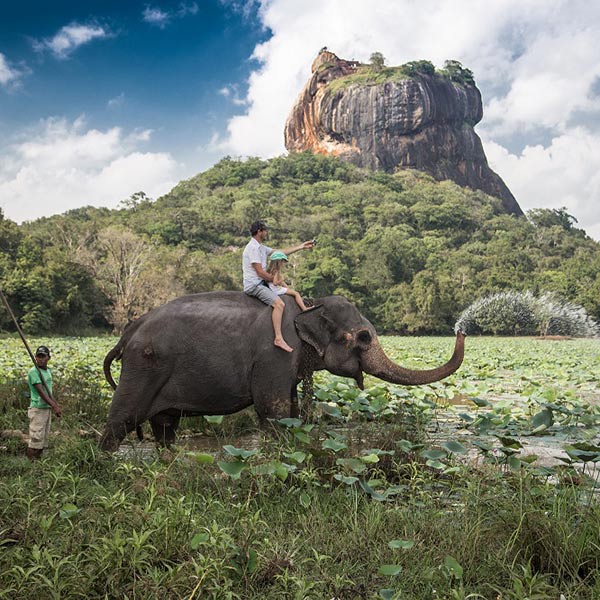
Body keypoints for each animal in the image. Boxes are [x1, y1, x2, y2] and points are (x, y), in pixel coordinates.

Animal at [98, 290, 466, 450]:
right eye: (362, 337)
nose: (462, 329)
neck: (310, 306)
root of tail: (129, 331)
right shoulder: (274, 355)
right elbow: (272, 411)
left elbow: (289, 410)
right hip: (143, 367)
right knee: (122, 420)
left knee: (164, 428)